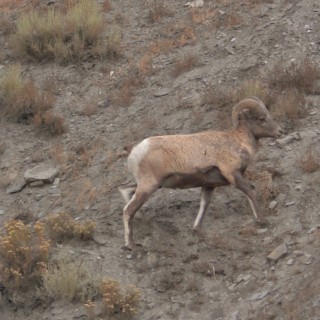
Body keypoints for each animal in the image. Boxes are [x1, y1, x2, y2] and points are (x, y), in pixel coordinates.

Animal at [119, 97, 282, 250]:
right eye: (261, 118)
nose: (280, 131)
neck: (238, 142)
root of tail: (134, 149)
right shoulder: (233, 174)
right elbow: (250, 192)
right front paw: (261, 220)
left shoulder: (209, 186)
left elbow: (204, 205)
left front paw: (196, 229)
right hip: (148, 186)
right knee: (127, 210)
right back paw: (131, 245)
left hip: (149, 185)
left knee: (125, 190)